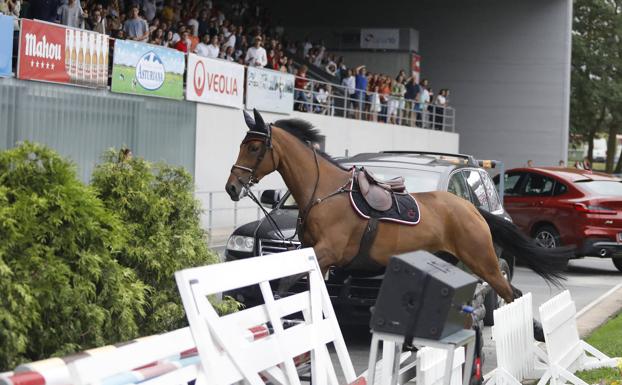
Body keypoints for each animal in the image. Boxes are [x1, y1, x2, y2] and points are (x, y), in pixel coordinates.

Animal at [225, 109, 572, 304]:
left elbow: (285, 286)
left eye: (254, 147)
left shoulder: (328, 252)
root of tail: (473, 209)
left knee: (510, 295)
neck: (324, 192)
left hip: (483, 260)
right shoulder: (317, 257)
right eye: (241, 144)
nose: (232, 187)